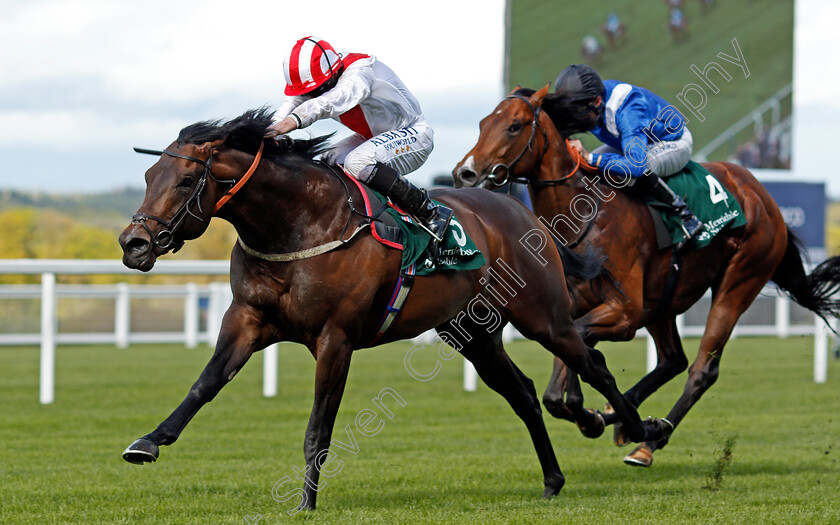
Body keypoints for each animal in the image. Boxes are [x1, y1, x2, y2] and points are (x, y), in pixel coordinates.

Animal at [118, 109, 672, 508]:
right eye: (148, 174)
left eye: (185, 181)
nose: (133, 243)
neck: (299, 224)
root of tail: (523, 212)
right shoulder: (247, 320)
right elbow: (205, 384)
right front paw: (147, 442)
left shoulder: (336, 338)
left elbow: (319, 425)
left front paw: (305, 503)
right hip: (474, 333)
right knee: (524, 394)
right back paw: (554, 479)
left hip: (543, 314)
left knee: (592, 364)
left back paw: (639, 428)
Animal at [456, 86, 840, 466]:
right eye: (483, 123)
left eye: (514, 126)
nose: (466, 173)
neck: (585, 217)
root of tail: (762, 196)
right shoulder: (568, 308)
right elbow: (566, 370)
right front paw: (593, 413)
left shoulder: (626, 313)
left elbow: (581, 347)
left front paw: (591, 413)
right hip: (663, 301)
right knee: (673, 360)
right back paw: (625, 419)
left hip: (739, 282)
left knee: (701, 370)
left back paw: (648, 440)